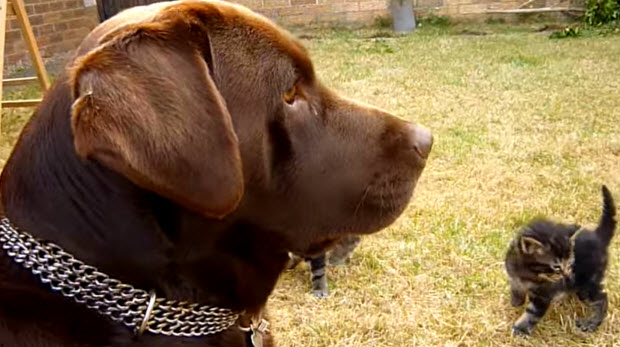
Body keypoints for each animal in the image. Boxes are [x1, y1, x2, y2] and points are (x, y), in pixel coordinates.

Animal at [504, 188, 616, 338]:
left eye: (570, 264)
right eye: (556, 267)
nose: (568, 277)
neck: (528, 273)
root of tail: (598, 236)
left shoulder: (544, 295)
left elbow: (532, 313)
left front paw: (520, 329)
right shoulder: (513, 276)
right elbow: (516, 289)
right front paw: (516, 302)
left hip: (589, 281)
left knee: (602, 298)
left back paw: (591, 322)